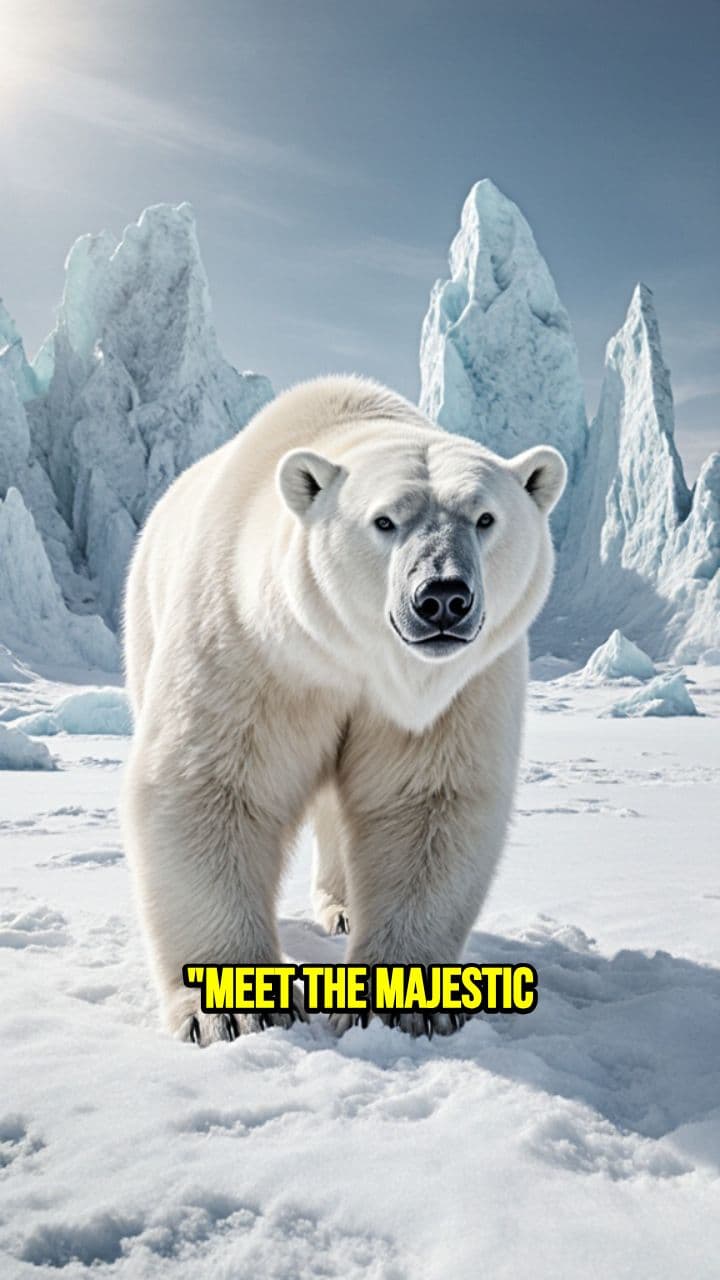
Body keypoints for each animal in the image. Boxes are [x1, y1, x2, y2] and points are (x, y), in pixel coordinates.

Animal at [121, 375, 566, 1043]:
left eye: (485, 517)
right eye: (385, 520)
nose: (442, 596)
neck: (357, 661)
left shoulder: (453, 689)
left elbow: (421, 801)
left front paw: (407, 1004)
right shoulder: (255, 648)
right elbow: (213, 786)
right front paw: (236, 1010)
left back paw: (343, 912)